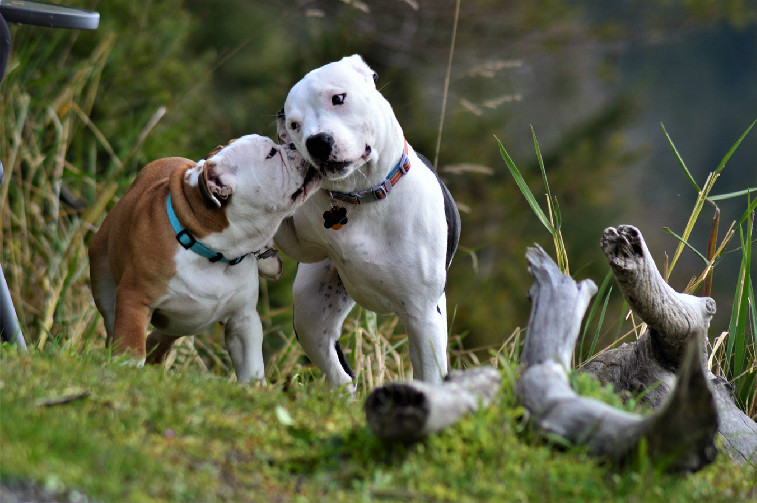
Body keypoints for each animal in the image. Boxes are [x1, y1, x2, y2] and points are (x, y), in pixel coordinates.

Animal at [274, 55, 458, 388]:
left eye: (338, 98)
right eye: (294, 125)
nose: (316, 141)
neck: (361, 196)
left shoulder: (425, 315)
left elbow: (430, 377)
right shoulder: (301, 243)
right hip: (311, 309)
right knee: (338, 370)